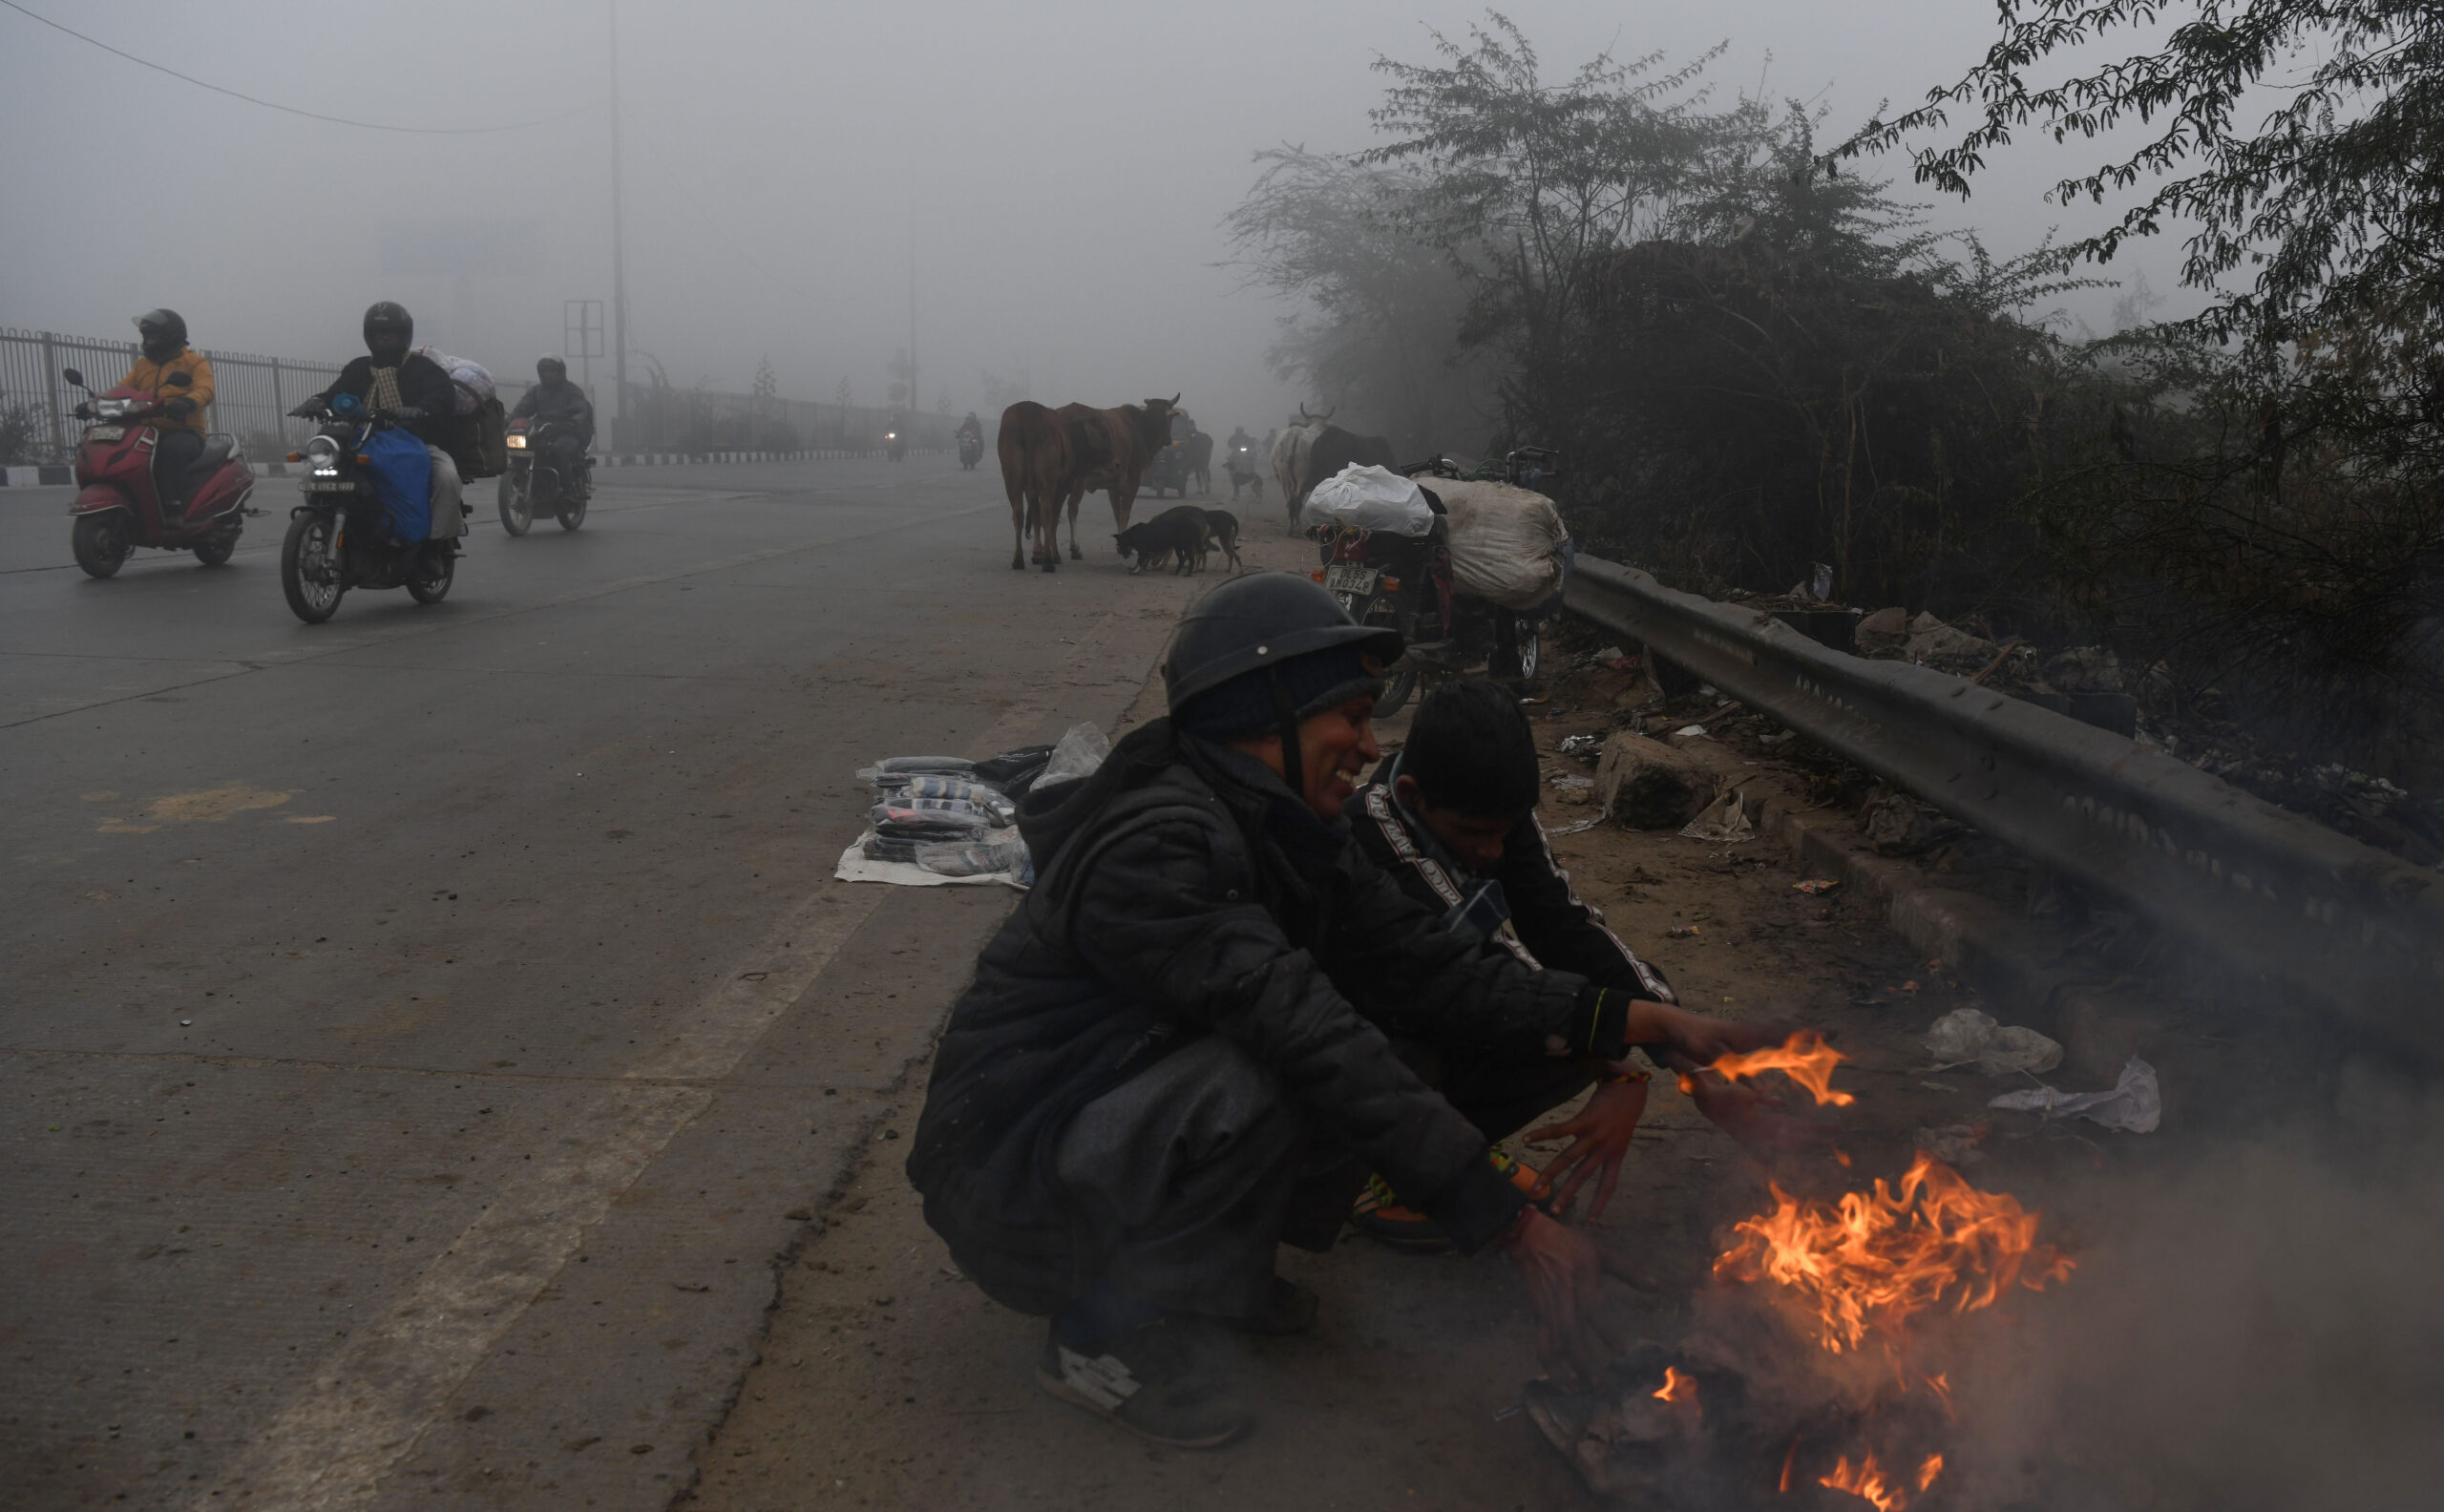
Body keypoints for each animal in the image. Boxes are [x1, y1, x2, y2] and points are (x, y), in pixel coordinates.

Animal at [992, 395, 1183, 574]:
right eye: (1170, 419)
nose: (1169, 440)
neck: (1140, 429)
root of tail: (1027, 416)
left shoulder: (1113, 487)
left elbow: (1117, 513)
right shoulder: (1130, 482)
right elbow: (1124, 513)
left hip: (1016, 482)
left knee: (1022, 514)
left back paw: (1028, 557)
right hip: (1062, 483)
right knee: (1062, 512)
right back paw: (1061, 554)